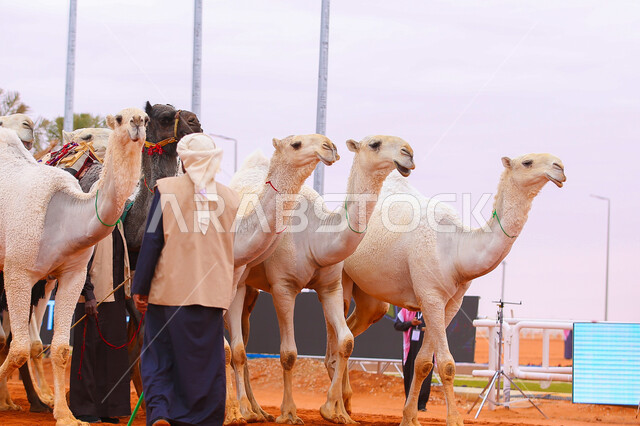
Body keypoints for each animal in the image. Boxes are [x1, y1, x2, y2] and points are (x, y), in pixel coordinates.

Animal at [0, 107, 147, 425]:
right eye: (120, 118)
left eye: (145, 117)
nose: (137, 123)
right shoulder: (18, 272)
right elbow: (18, 348)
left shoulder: (72, 275)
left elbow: (59, 349)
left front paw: (66, 414)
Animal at [340, 153, 566, 426]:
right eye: (527, 162)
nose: (560, 167)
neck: (456, 250)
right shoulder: (430, 296)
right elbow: (446, 364)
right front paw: (455, 420)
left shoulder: (452, 302)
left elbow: (423, 362)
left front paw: (410, 418)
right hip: (339, 273)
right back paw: (334, 409)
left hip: (370, 296)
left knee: (353, 329)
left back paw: (346, 403)